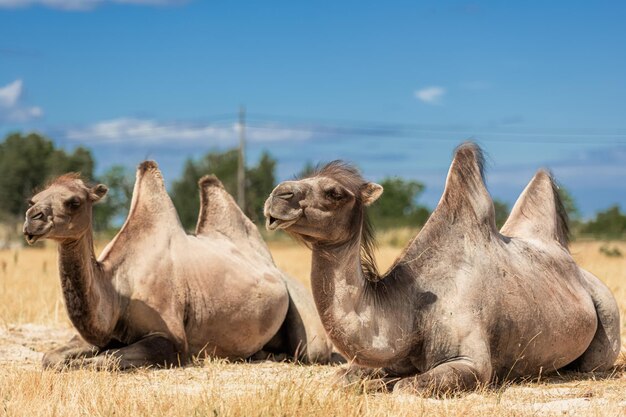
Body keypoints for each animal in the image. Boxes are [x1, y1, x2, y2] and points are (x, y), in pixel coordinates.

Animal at [21, 161, 332, 368]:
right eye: (32, 200)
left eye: (73, 202)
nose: (32, 219)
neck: (118, 290)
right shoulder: (102, 334)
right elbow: (51, 357)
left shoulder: (170, 337)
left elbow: (106, 359)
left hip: (306, 313)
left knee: (311, 351)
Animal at [264, 143, 620, 394]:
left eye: (335, 192)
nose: (277, 195)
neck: (410, 309)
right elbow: (343, 378)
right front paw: (374, 381)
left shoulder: (472, 362)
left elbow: (408, 387)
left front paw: (389, 384)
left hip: (607, 319)